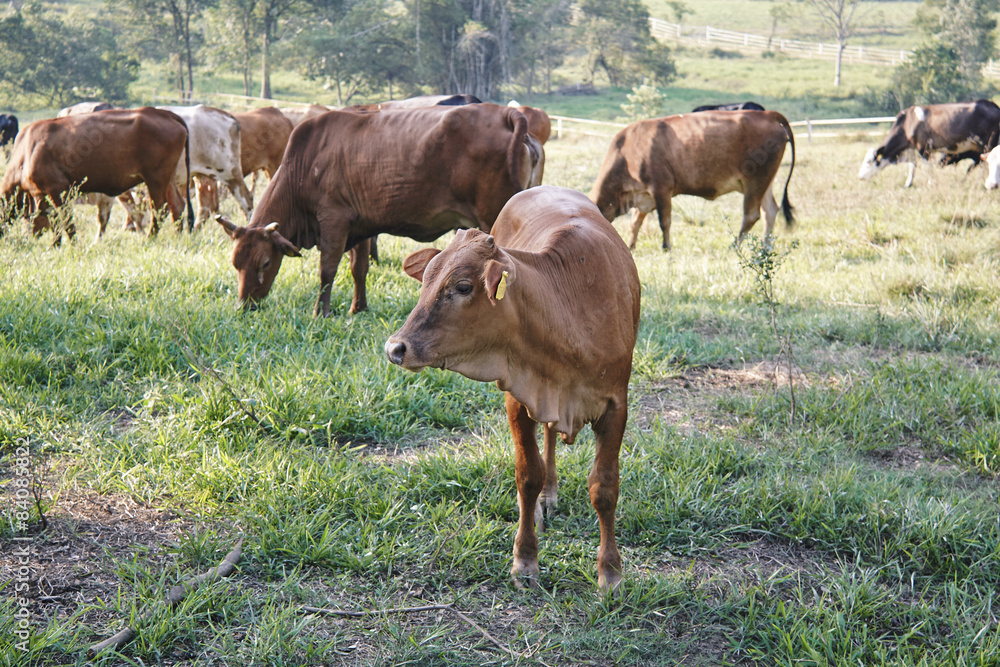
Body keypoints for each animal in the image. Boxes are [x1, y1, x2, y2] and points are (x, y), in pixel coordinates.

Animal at [0, 105, 193, 239]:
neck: (27, 151)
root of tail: (165, 114)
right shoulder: (42, 194)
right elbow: (49, 221)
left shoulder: (57, 190)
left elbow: (64, 222)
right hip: (167, 178)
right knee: (177, 206)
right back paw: (177, 237)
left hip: (156, 179)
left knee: (161, 208)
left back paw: (149, 239)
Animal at [219, 103, 544, 318]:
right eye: (235, 263)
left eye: (264, 263)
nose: (245, 305)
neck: (304, 163)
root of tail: (506, 114)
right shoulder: (360, 225)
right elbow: (358, 269)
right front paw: (358, 308)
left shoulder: (333, 220)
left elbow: (327, 269)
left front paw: (320, 313)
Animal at [382, 185, 640, 592]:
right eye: (425, 283)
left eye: (462, 287)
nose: (396, 347)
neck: (571, 310)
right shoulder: (519, 398)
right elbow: (528, 475)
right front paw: (525, 559)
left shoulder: (616, 407)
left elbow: (604, 487)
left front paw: (610, 571)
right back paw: (545, 499)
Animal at [588, 109, 792, 250]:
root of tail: (768, 114)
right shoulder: (644, 196)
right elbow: (635, 222)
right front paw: (631, 246)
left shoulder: (661, 189)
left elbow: (664, 221)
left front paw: (666, 248)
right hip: (764, 183)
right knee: (770, 211)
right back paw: (765, 247)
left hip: (755, 181)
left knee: (751, 215)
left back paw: (734, 246)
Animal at [856, 100, 1000, 188]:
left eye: (868, 162)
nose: (860, 177)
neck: (907, 123)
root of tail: (993, 105)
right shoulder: (911, 148)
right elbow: (912, 166)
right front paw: (908, 183)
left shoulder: (923, 148)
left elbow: (927, 167)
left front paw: (931, 183)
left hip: (988, 144)